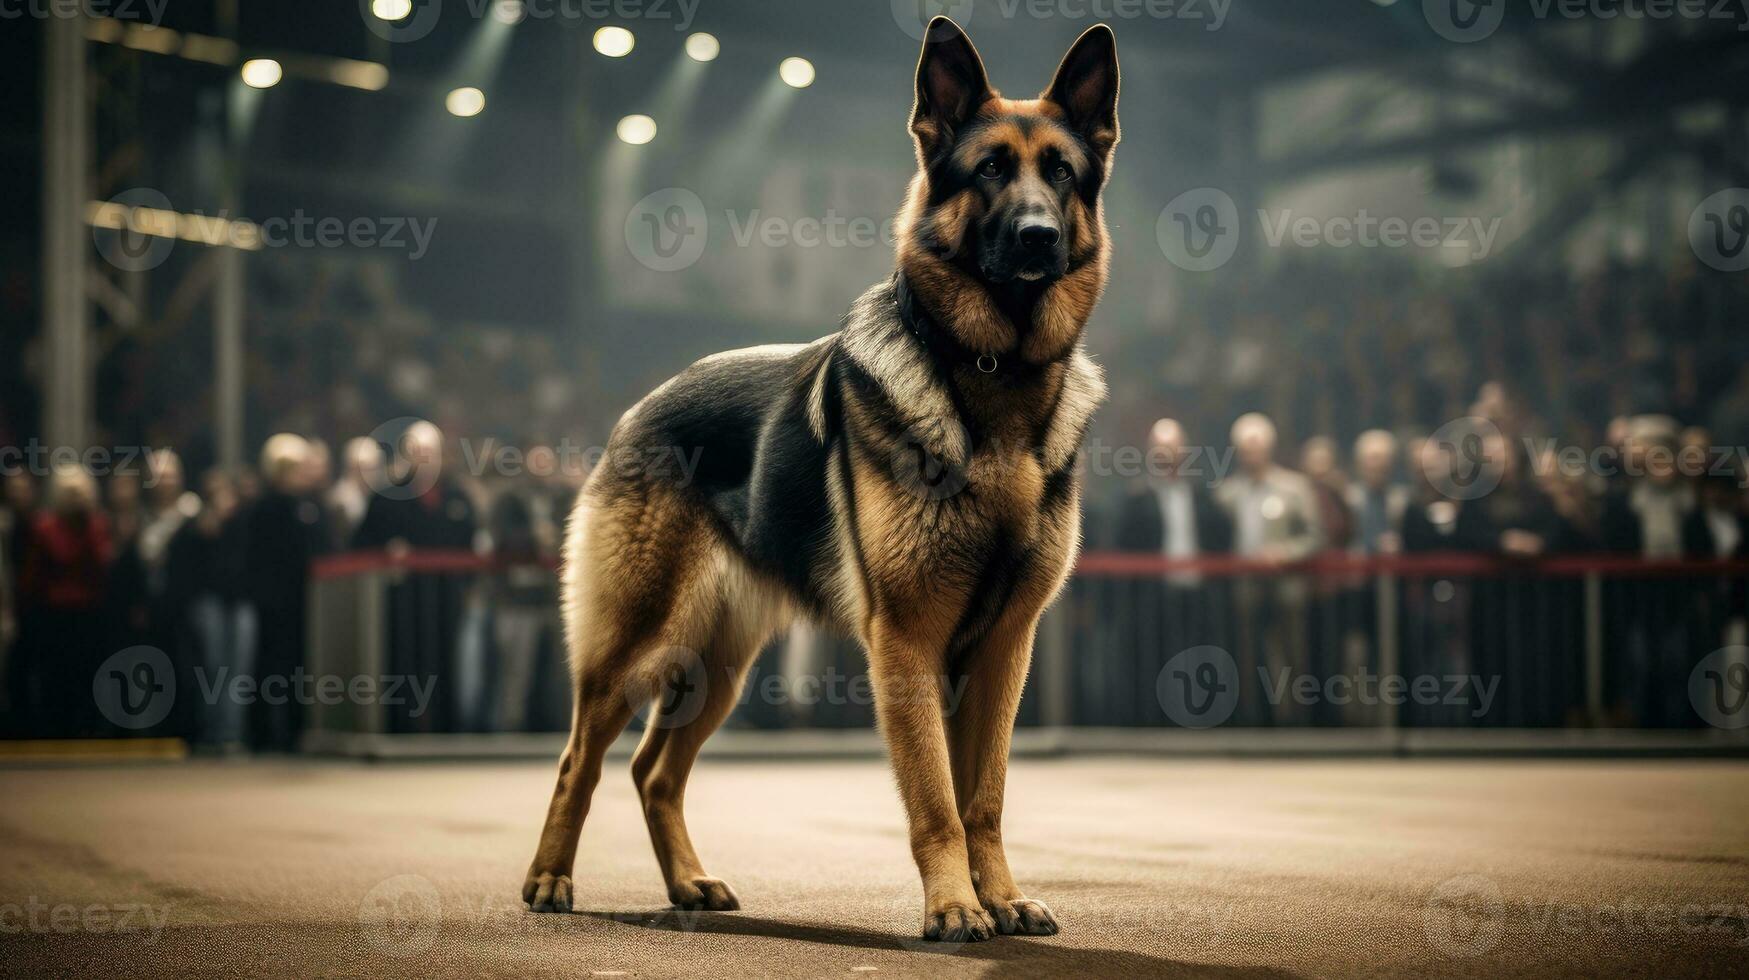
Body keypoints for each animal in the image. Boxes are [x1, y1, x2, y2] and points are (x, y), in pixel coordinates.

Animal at [521, 19, 1119, 945]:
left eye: (1060, 172)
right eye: (989, 169)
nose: (1036, 237)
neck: (989, 375)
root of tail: (648, 399)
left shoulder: (1002, 650)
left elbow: (982, 798)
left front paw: (1000, 897)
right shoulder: (905, 643)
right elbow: (935, 800)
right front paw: (954, 906)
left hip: (717, 667)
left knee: (654, 773)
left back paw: (687, 885)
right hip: (634, 645)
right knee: (576, 759)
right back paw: (550, 879)